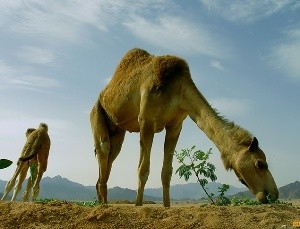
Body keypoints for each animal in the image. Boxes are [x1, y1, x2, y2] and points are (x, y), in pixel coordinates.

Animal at [89, 47, 278, 207]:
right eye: (261, 164)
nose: (274, 195)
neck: (176, 88)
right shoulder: (146, 120)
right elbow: (143, 169)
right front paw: (138, 206)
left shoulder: (175, 126)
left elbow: (166, 172)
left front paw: (166, 207)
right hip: (97, 114)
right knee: (104, 148)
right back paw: (103, 205)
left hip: (118, 130)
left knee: (111, 155)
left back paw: (101, 201)